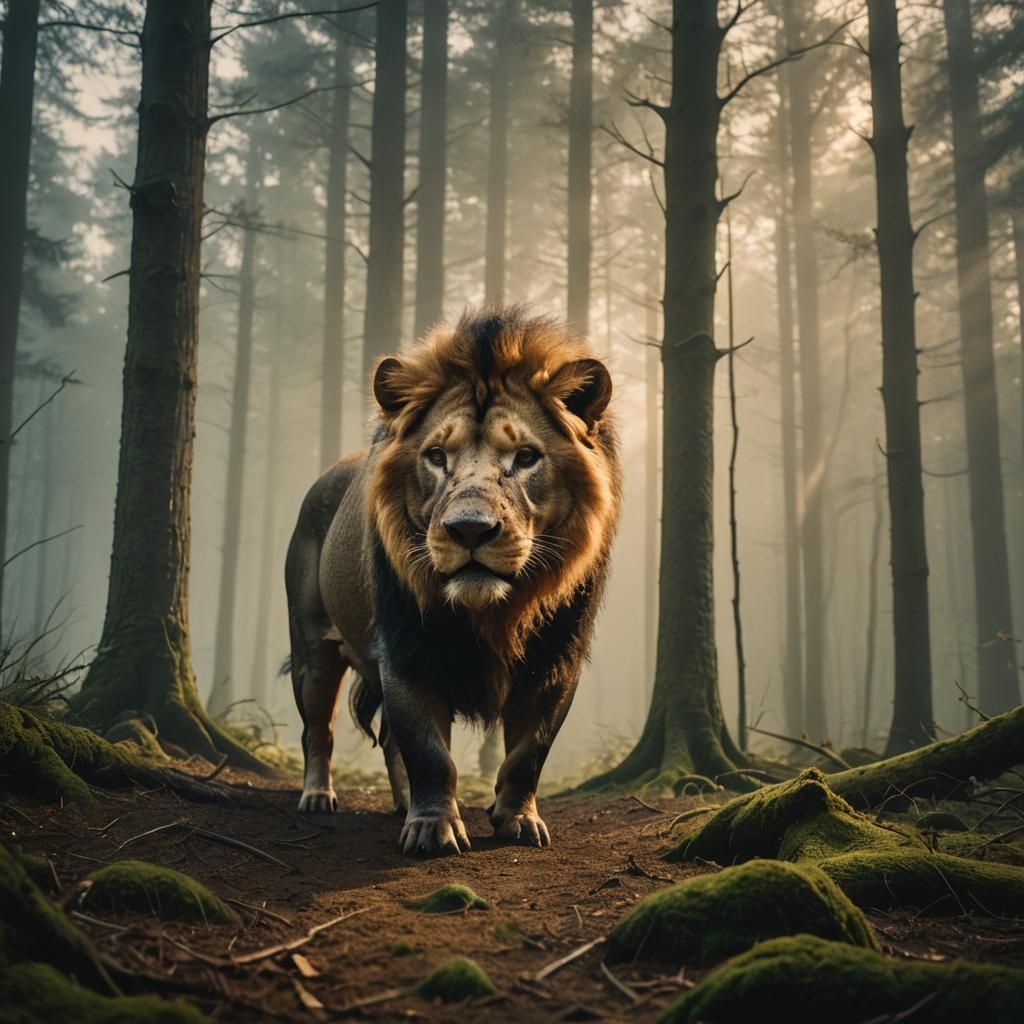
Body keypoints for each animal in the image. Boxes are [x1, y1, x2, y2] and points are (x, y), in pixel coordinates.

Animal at [284, 306, 621, 856]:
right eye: (438, 456)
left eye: (525, 457)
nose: (470, 529)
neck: (495, 613)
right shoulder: (406, 651)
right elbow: (429, 752)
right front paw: (433, 830)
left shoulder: (556, 662)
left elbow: (528, 754)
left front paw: (517, 819)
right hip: (312, 647)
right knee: (318, 729)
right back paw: (317, 796)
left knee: (387, 742)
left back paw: (401, 803)